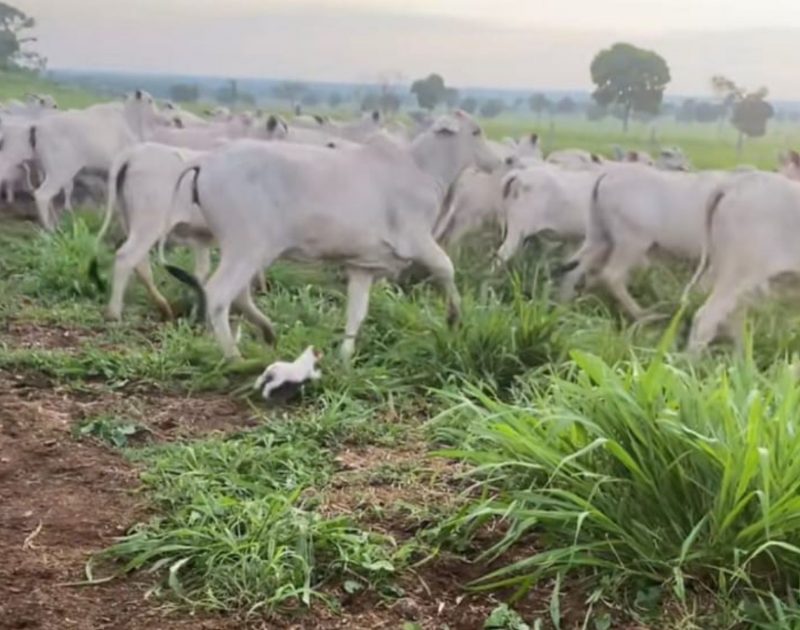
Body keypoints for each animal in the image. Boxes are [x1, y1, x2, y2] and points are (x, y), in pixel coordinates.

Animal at [169, 111, 500, 362]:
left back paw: (268, 332)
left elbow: (357, 313)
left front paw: (344, 357)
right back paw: (234, 356)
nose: (497, 162)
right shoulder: (416, 239)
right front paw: (454, 318)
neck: (424, 169)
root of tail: (206, 162)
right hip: (247, 247)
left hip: (249, 251)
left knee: (239, 294)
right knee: (219, 294)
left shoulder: (363, 266)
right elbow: (446, 267)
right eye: (476, 132)